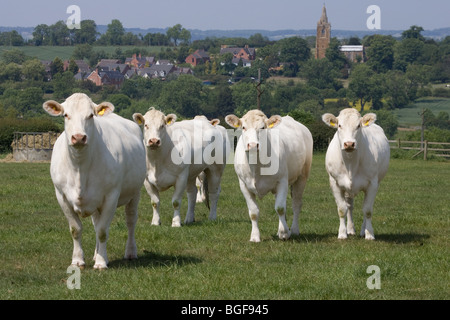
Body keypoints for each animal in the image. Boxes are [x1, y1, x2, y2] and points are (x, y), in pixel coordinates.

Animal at [42, 93, 146, 270]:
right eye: (65, 115)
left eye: (90, 115)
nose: (78, 137)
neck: (80, 167)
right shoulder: (61, 196)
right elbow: (76, 229)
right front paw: (78, 260)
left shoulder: (111, 195)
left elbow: (103, 231)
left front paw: (101, 262)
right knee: (96, 223)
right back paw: (96, 253)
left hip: (135, 193)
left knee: (130, 220)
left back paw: (130, 252)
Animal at [227, 109, 312, 241]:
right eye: (243, 127)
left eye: (262, 127)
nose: (252, 145)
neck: (256, 166)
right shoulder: (243, 185)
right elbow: (253, 212)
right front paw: (255, 236)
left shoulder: (282, 181)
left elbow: (280, 208)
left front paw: (284, 233)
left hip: (302, 177)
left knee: (296, 204)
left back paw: (294, 230)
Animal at [322, 109, 388, 239]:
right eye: (339, 125)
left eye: (358, 126)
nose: (349, 144)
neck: (350, 164)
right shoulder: (335, 183)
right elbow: (342, 209)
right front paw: (342, 233)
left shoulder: (372, 184)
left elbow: (367, 209)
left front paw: (369, 234)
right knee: (350, 206)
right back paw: (350, 229)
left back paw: (363, 230)